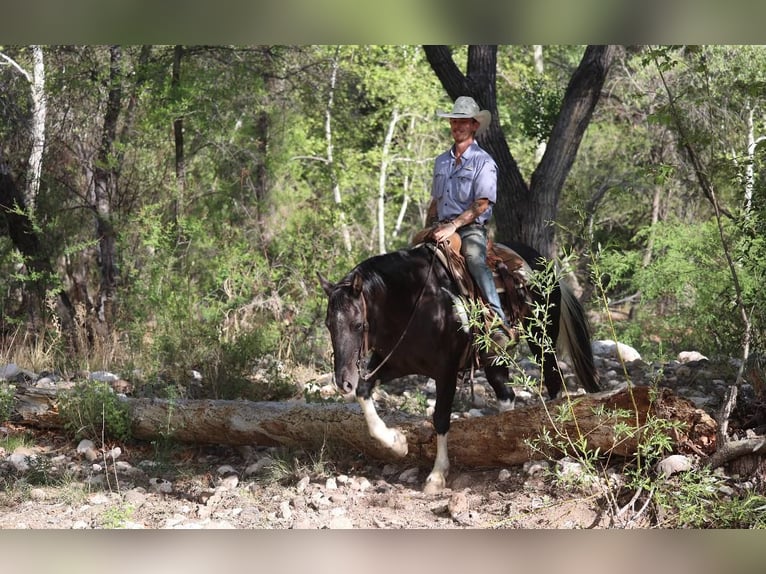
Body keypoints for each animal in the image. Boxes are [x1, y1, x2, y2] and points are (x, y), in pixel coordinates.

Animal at [318, 238, 600, 494]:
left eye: (357, 324)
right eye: (329, 324)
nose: (343, 381)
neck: (414, 302)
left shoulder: (446, 372)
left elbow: (441, 418)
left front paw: (437, 475)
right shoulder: (394, 365)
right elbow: (364, 391)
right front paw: (396, 442)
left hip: (542, 340)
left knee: (552, 382)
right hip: (494, 359)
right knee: (506, 395)